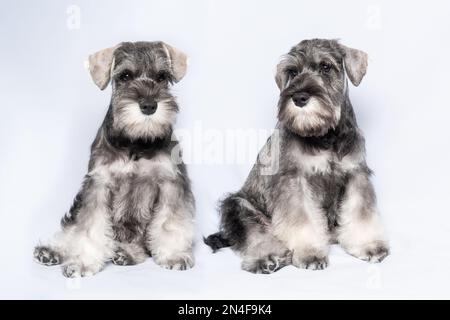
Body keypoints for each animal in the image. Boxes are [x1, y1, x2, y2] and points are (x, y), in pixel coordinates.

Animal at [34, 41, 196, 276]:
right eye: (125, 76)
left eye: (162, 77)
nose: (149, 105)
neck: (136, 141)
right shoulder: (99, 184)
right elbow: (89, 227)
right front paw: (82, 262)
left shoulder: (170, 183)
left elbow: (170, 222)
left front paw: (174, 254)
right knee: (71, 229)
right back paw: (52, 250)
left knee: (139, 243)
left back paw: (126, 253)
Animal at [206, 38, 388, 274]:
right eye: (292, 71)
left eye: (326, 67)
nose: (299, 97)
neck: (325, 135)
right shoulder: (295, 181)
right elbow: (302, 220)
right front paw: (310, 253)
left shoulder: (356, 175)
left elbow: (360, 214)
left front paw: (369, 246)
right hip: (238, 206)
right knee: (256, 233)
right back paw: (268, 257)